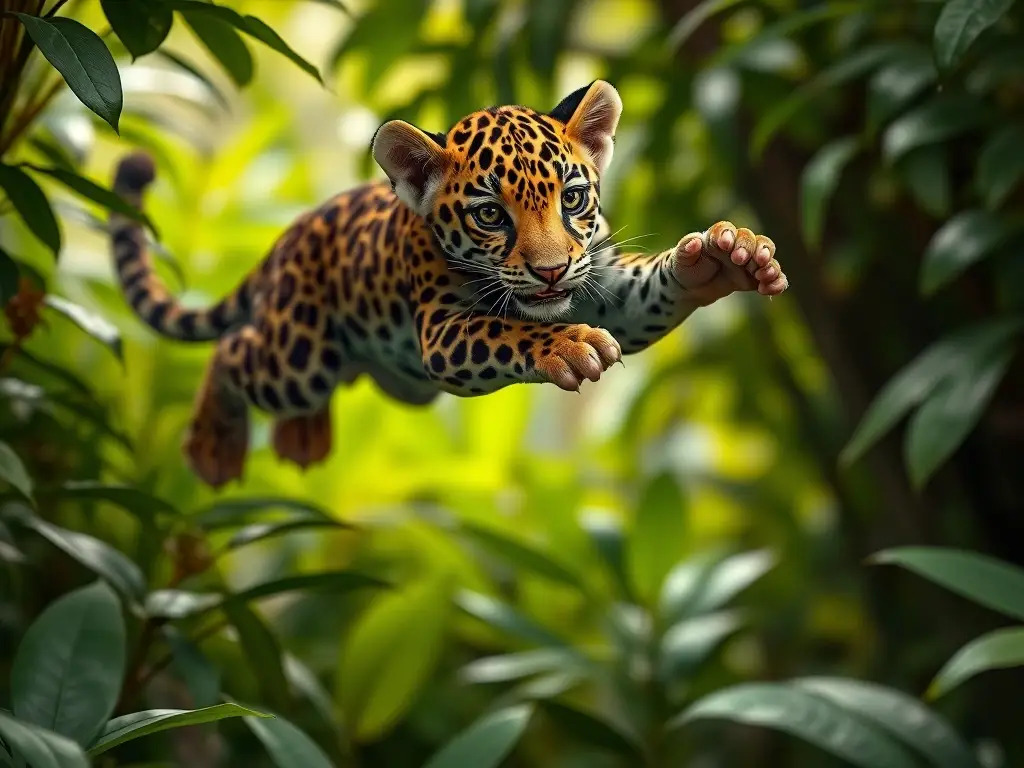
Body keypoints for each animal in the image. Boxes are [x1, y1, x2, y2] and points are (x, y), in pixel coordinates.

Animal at [108, 80, 789, 488]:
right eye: (490, 215)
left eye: (572, 198)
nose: (549, 270)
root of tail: (288, 239)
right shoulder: (442, 331)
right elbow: (510, 332)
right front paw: (568, 346)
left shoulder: (606, 289)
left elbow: (648, 290)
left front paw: (723, 257)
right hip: (301, 353)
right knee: (232, 350)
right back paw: (213, 444)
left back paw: (302, 436)